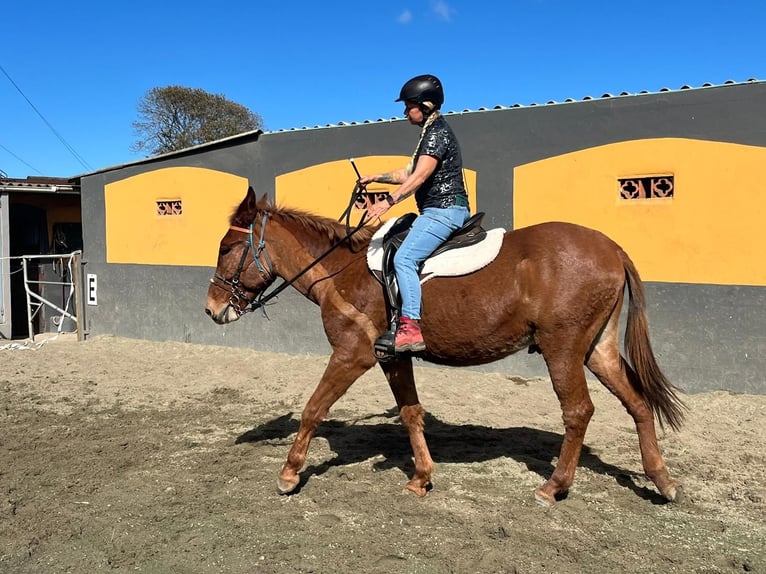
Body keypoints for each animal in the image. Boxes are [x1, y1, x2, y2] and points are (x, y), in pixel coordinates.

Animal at [207, 189, 688, 508]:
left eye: (228, 247)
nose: (212, 309)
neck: (341, 271)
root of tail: (611, 248)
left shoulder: (352, 355)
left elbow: (313, 408)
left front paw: (289, 474)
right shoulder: (392, 357)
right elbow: (411, 414)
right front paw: (421, 478)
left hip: (563, 348)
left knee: (578, 412)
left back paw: (554, 486)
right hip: (597, 350)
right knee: (638, 403)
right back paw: (661, 480)